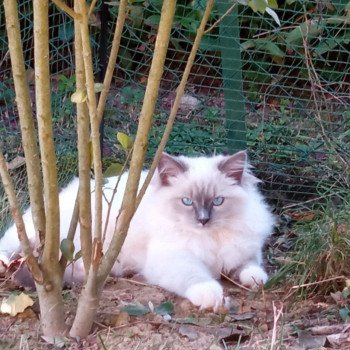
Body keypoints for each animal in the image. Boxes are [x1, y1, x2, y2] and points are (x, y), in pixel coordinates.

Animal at [0, 150, 274, 308]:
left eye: (218, 201)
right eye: (187, 201)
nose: (203, 220)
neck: (210, 239)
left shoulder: (245, 250)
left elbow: (251, 266)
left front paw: (255, 280)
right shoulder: (173, 259)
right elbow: (196, 276)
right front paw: (212, 295)